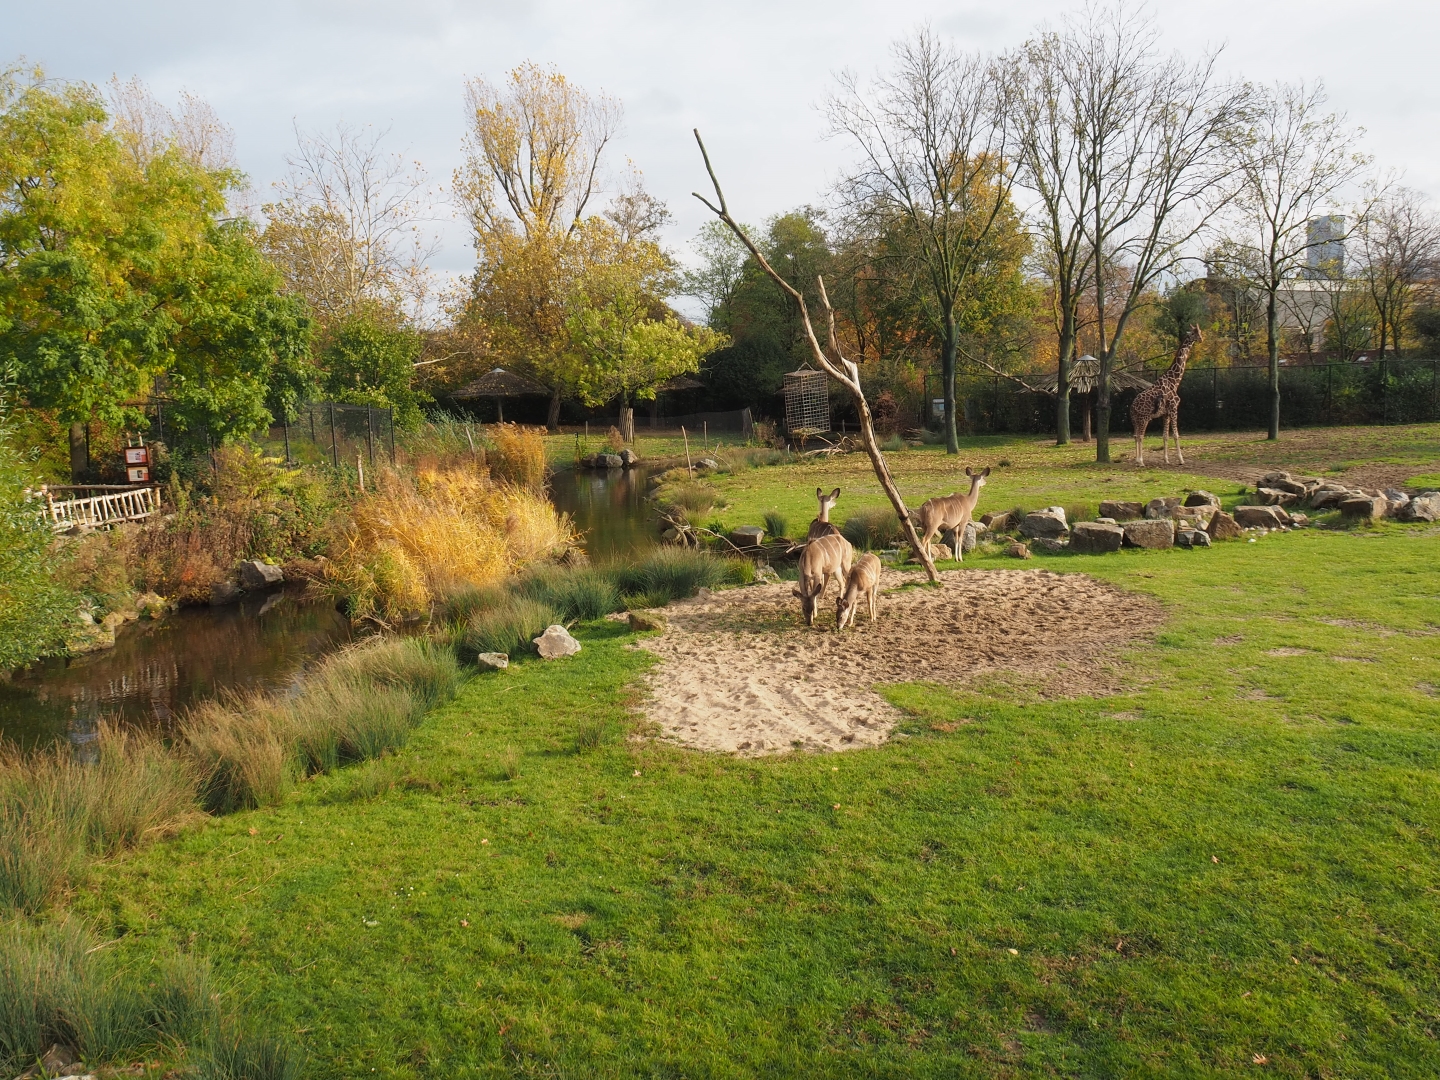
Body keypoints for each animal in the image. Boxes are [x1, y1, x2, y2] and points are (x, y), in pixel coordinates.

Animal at [1130, 325, 1202, 466]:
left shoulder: (1165, 413)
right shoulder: (1174, 409)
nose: (1201, 339)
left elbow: (1165, 436)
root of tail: (1133, 406)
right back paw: (1141, 461)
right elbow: (1176, 435)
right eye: (1194, 333)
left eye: (1199, 332)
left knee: (1135, 436)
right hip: (1144, 418)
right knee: (1140, 436)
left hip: (1135, 419)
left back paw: (1137, 460)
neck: (1174, 381)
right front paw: (1181, 459)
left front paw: (1166, 459)